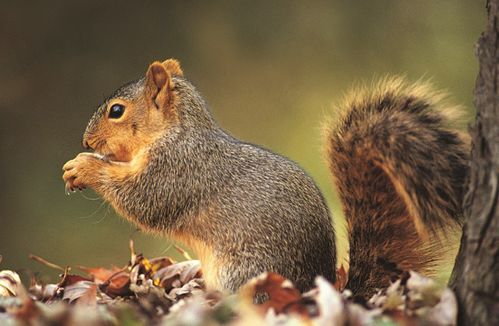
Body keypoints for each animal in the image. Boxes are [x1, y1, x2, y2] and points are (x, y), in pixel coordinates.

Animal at [61, 59, 468, 300]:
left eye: (117, 111)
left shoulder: (177, 169)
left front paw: (84, 167)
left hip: (243, 273)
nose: (85, 141)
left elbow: (143, 200)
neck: (177, 131)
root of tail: (312, 288)